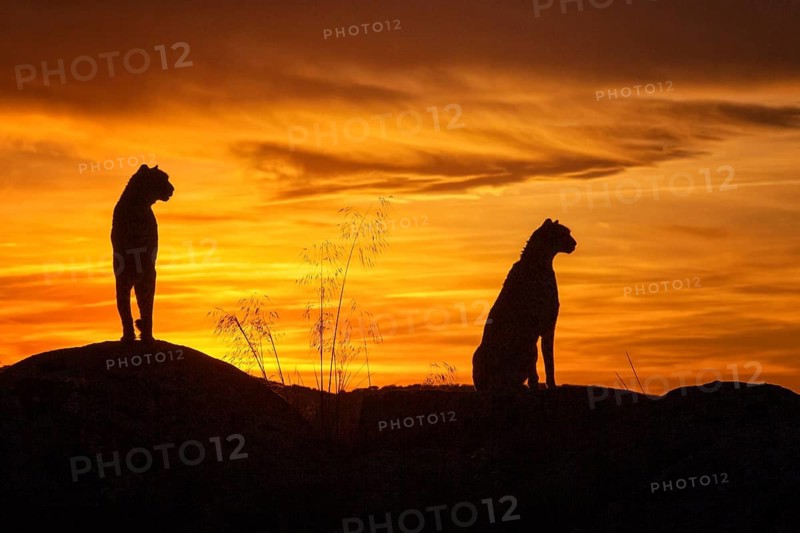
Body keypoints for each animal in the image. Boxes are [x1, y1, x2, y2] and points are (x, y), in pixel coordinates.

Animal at [111, 164, 174, 343]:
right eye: (163, 178)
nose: (172, 188)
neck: (138, 206)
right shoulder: (123, 273)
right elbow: (124, 307)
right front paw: (128, 336)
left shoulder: (148, 270)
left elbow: (146, 304)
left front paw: (147, 335)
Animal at [472, 218, 576, 392]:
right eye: (564, 233)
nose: (575, 243)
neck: (540, 263)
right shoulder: (532, 327)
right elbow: (534, 358)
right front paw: (535, 384)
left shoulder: (548, 326)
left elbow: (549, 359)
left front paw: (551, 385)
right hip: (480, 353)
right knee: (493, 384)